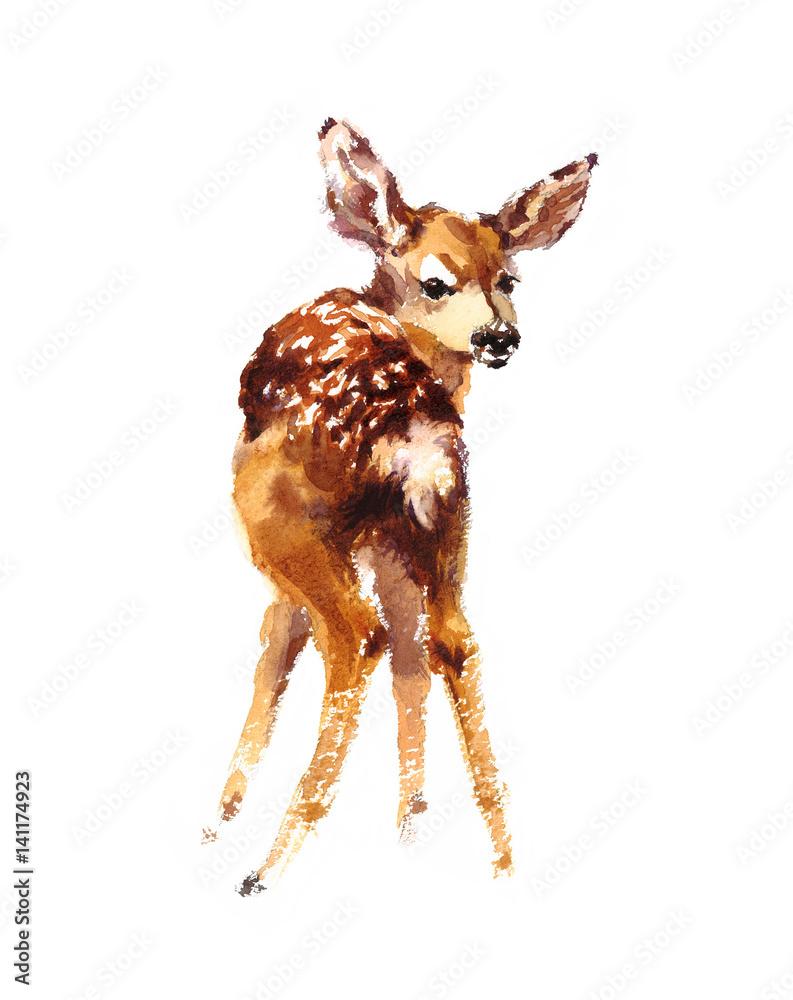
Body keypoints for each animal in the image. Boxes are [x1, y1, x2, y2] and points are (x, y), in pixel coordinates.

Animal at [206, 118, 597, 895]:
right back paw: (496, 855)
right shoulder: (397, 533)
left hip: (284, 521)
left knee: (358, 635)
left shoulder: (305, 550)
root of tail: (410, 417)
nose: (499, 335)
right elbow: (399, 659)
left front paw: (222, 815)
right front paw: (409, 821)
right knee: (446, 639)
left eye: (507, 279)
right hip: (442, 517)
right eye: (436, 280)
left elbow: (275, 649)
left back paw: (269, 866)